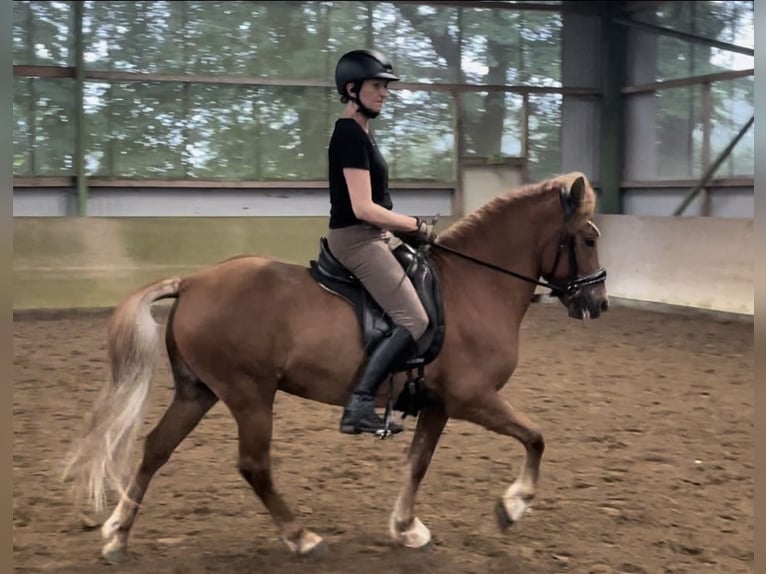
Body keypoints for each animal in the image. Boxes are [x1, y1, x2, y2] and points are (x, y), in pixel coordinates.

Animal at [62, 171, 609, 563]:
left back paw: (117, 535)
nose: (598, 304)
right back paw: (301, 537)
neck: (475, 287)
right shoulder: (473, 397)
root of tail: (193, 282)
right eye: (586, 239)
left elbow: (418, 462)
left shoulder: (438, 404)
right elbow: (535, 435)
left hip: (199, 391)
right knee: (254, 465)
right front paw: (512, 506)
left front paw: (406, 529)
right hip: (249, 394)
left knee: (156, 448)